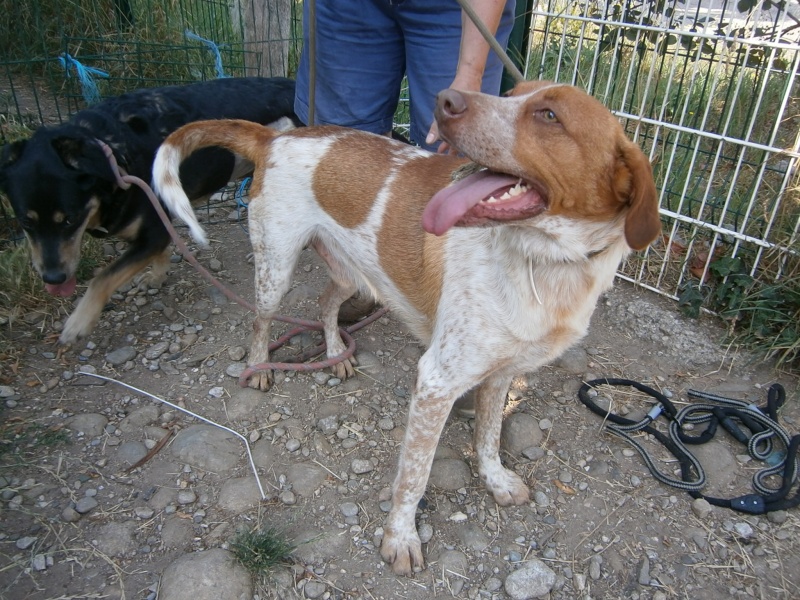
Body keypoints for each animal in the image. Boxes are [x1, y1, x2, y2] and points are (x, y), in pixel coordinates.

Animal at [0, 77, 300, 344]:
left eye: (69, 220)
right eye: (25, 222)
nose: (53, 278)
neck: (113, 154)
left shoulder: (153, 232)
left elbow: (102, 278)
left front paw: (79, 322)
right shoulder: (154, 228)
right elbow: (157, 253)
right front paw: (157, 274)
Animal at [153, 81, 660, 576]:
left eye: (550, 115)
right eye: (513, 92)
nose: (446, 99)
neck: (548, 265)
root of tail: (276, 138)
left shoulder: (501, 372)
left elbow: (489, 438)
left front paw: (495, 481)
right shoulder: (436, 380)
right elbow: (414, 477)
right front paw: (400, 538)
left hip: (349, 275)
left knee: (325, 303)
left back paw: (335, 353)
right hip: (275, 270)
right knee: (260, 321)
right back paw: (259, 367)